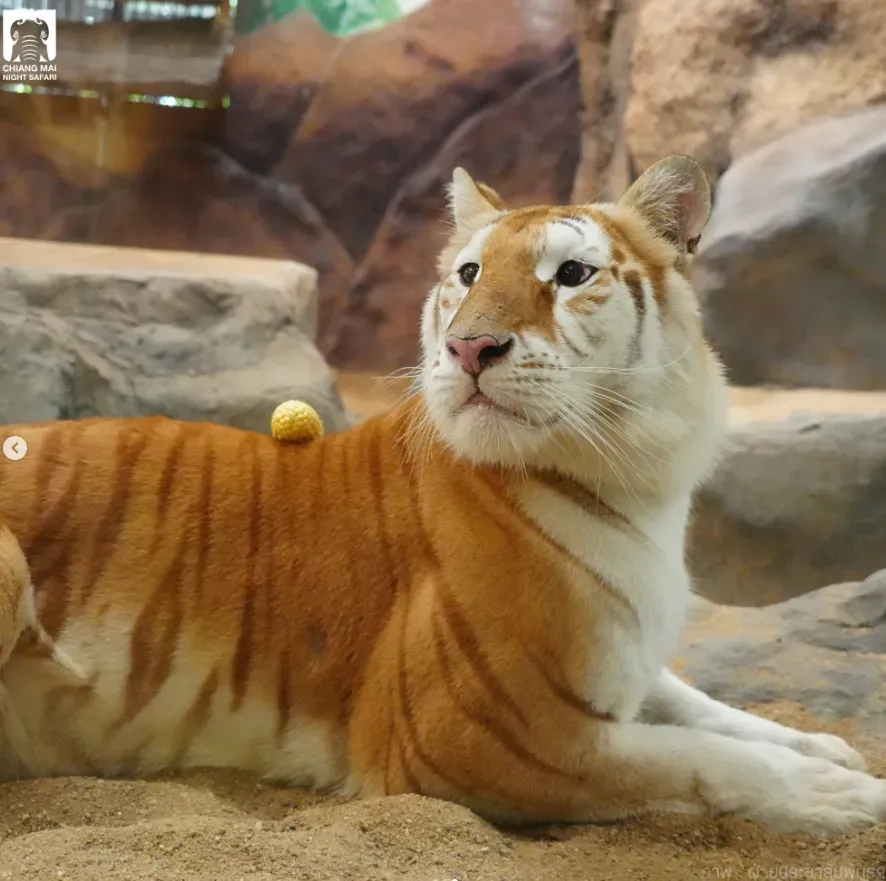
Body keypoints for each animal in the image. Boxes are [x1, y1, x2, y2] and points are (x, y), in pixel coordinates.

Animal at [0, 156, 884, 836]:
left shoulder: (622, 657)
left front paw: (826, 748)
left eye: (571, 274)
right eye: (469, 273)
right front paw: (839, 792)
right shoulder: (482, 732)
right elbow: (697, 756)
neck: (636, 479)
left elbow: (706, 707)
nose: (469, 346)